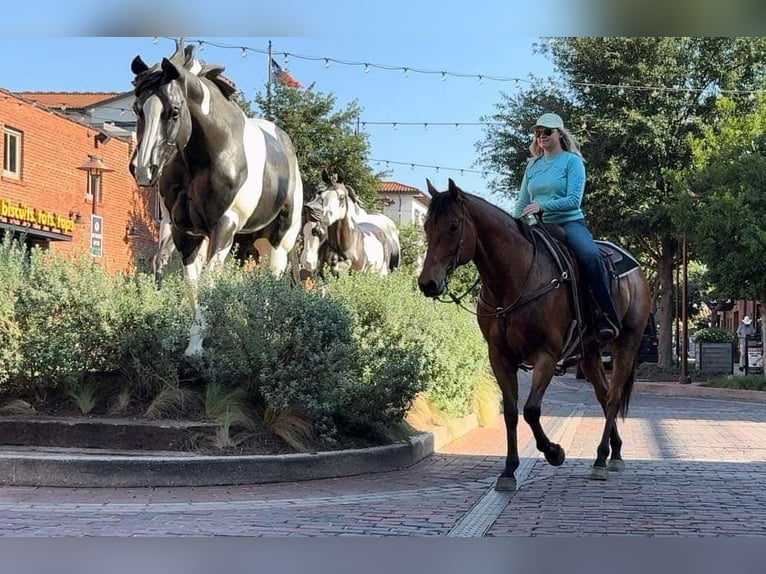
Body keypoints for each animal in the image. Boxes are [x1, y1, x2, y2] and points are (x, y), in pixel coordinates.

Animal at [130, 41, 304, 356]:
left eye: (174, 112)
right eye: (138, 109)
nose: (142, 169)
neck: (207, 155)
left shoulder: (224, 225)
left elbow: (210, 280)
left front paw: (199, 345)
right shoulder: (185, 232)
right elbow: (193, 284)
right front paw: (194, 345)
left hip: (281, 238)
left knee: (274, 275)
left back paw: (269, 335)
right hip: (256, 239)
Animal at [416, 179, 652, 490]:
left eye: (454, 226)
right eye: (426, 226)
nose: (428, 283)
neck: (513, 282)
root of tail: (636, 271)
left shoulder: (546, 356)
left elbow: (530, 410)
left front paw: (554, 452)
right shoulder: (499, 357)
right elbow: (511, 412)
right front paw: (508, 469)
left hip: (626, 343)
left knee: (612, 398)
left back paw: (602, 459)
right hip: (589, 354)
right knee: (603, 396)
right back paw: (614, 452)